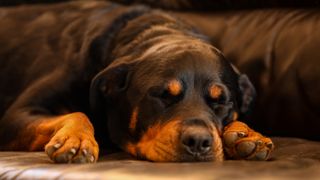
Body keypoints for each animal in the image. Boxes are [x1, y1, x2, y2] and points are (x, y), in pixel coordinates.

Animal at [0, 0, 272, 163]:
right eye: (163, 95)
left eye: (221, 102)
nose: (199, 141)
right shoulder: (17, 115)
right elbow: (78, 113)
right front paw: (76, 140)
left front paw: (248, 134)